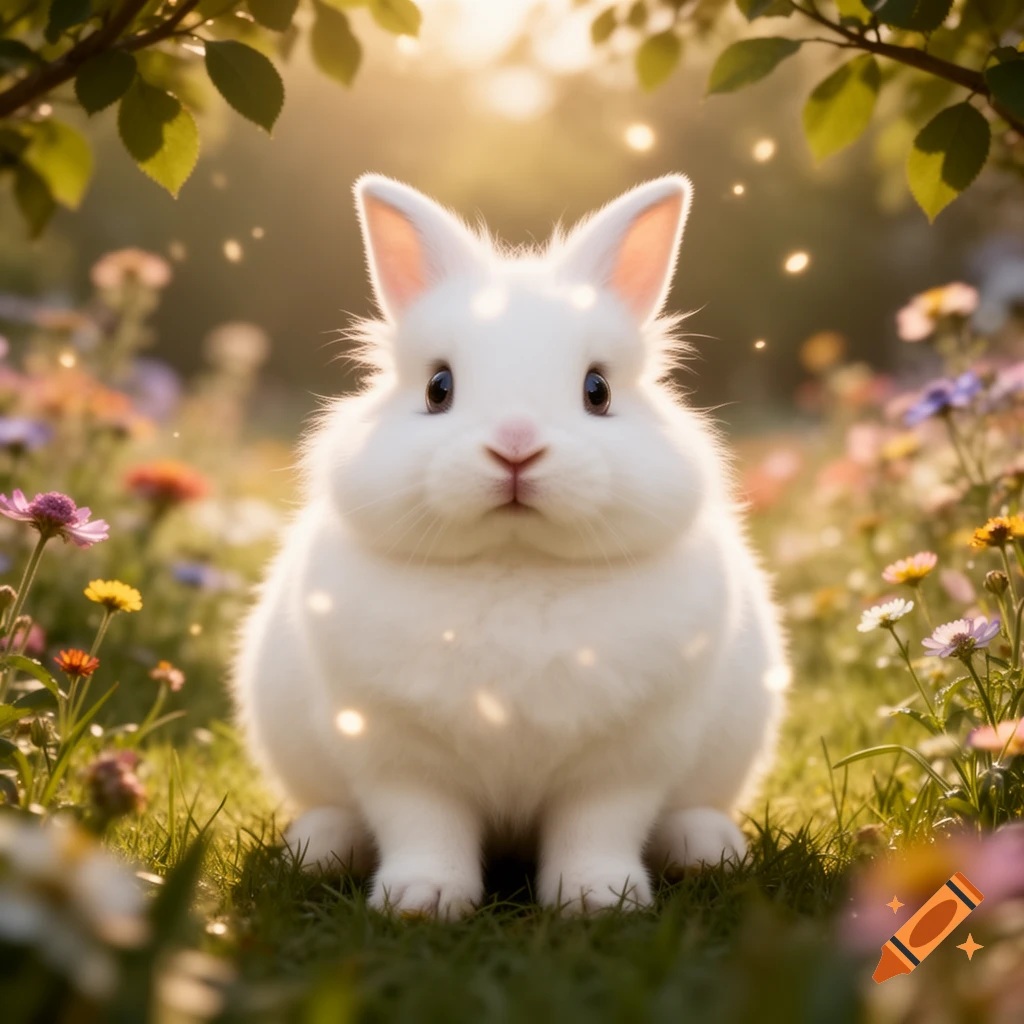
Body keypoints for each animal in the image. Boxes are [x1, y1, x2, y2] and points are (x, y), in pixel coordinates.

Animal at [233, 173, 789, 918]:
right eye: (438, 387)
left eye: (597, 389)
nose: (516, 444)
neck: (515, 561)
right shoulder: (399, 757)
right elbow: (423, 826)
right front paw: (422, 900)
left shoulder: (624, 761)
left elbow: (597, 829)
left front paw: (597, 901)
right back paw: (319, 847)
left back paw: (707, 849)